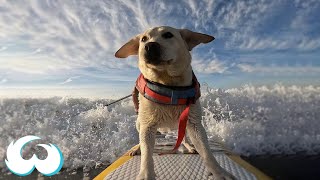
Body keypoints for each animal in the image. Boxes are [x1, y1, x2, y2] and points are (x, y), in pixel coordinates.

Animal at [115, 25, 235, 180]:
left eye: (168, 35)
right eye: (143, 39)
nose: (150, 46)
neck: (168, 85)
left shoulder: (194, 123)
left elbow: (207, 153)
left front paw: (219, 172)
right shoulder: (147, 125)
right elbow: (147, 154)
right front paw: (146, 174)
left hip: (183, 124)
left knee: (183, 138)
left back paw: (189, 146)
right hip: (138, 122)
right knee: (141, 139)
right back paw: (137, 148)